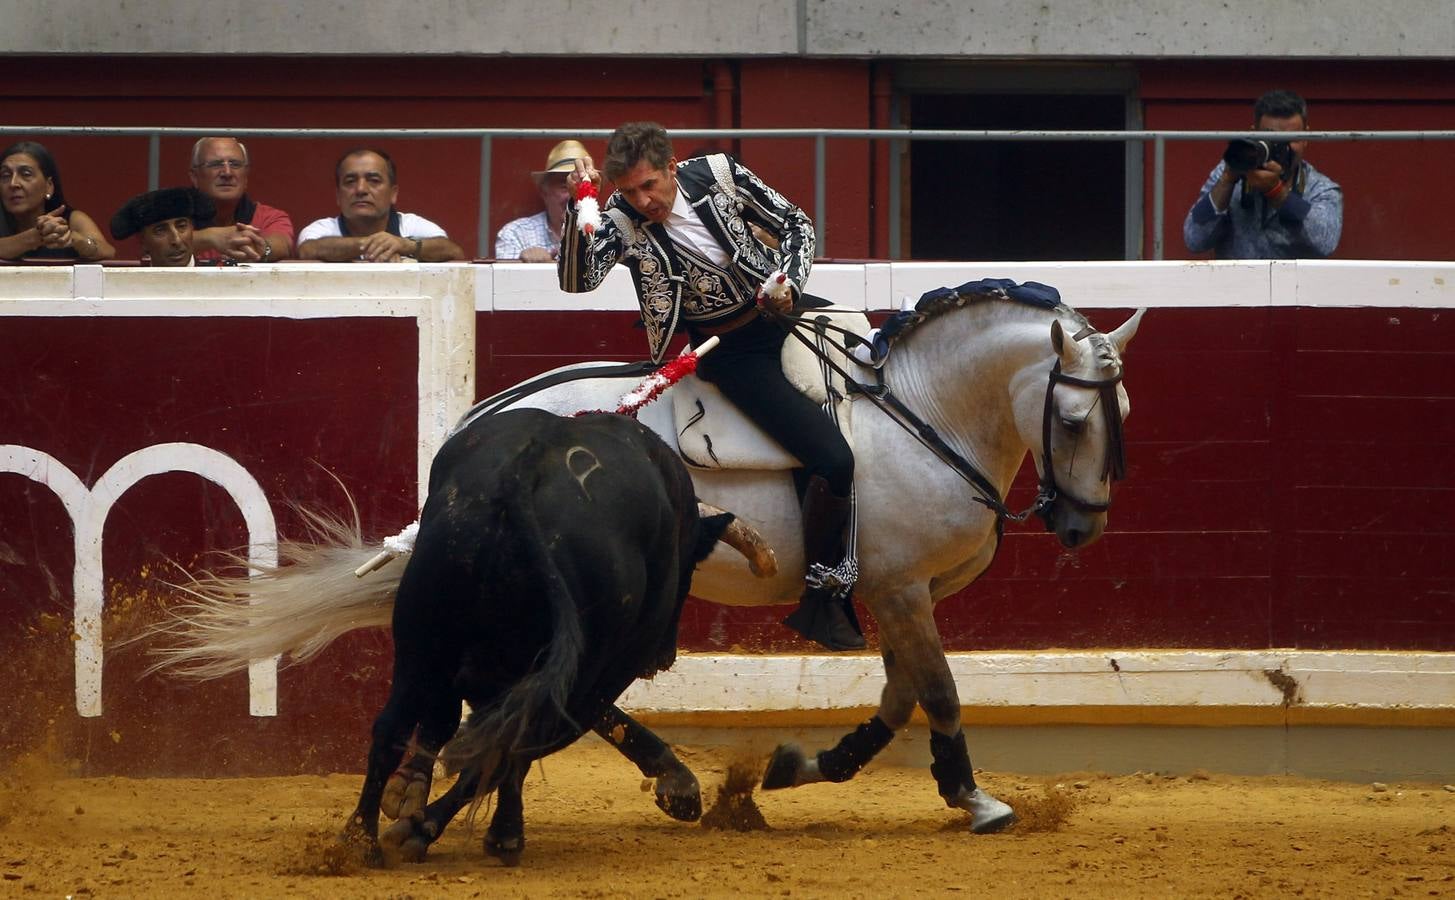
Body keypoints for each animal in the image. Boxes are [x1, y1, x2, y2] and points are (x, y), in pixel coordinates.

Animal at [343, 412, 774, 872]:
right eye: (692, 565)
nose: (664, 657)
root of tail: (524, 469)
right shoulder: (596, 679)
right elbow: (503, 753)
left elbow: (454, 733)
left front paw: (412, 803)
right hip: (581, 669)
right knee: (512, 743)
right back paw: (493, 835)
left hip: (419, 637)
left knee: (392, 726)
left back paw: (359, 841)